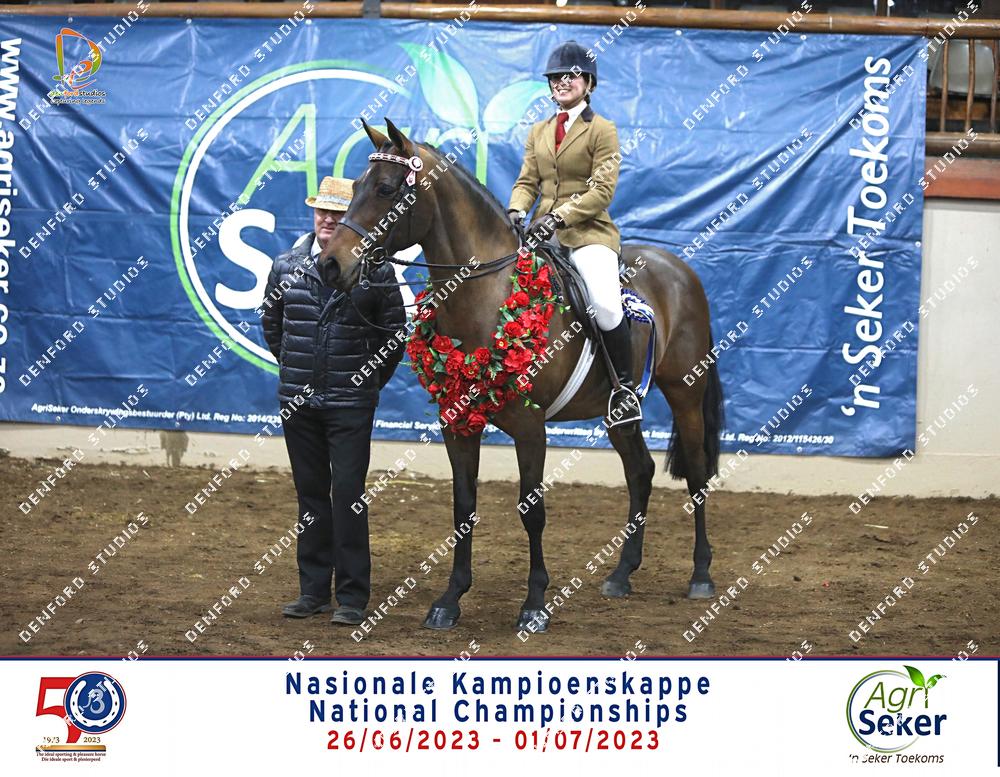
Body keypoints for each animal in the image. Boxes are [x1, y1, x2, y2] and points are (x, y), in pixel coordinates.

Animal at [319, 118, 724, 633]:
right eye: (354, 187)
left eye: (387, 190)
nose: (330, 265)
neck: (486, 294)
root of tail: (680, 269)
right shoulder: (457, 423)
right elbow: (463, 506)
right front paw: (450, 600)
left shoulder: (531, 428)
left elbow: (532, 511)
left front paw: (534, 605)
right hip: (620, 410)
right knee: (640, 471)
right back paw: (620, 575)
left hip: (685, 392)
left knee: (696, 473)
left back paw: (701, 576)